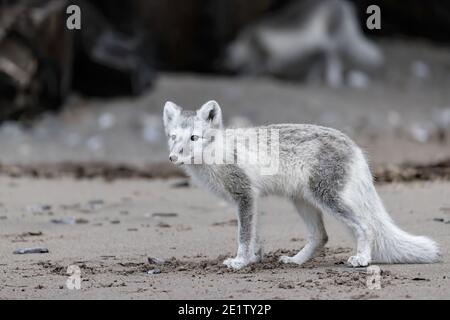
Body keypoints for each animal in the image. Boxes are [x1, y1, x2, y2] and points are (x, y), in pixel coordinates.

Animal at [163, 100, 442, 270]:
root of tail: (353, 145)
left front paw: (240, 262)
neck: (217, 154)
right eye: (173, 137)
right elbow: (254, 236)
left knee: (365, 226)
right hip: (303, 201)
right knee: (321, 236)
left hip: (326, 198)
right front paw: (254, 259)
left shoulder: (245, 195)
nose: (173, 157)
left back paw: (362, 258)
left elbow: (243, 236)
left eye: (194, 138)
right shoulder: (251, 199)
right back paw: (296, 261)